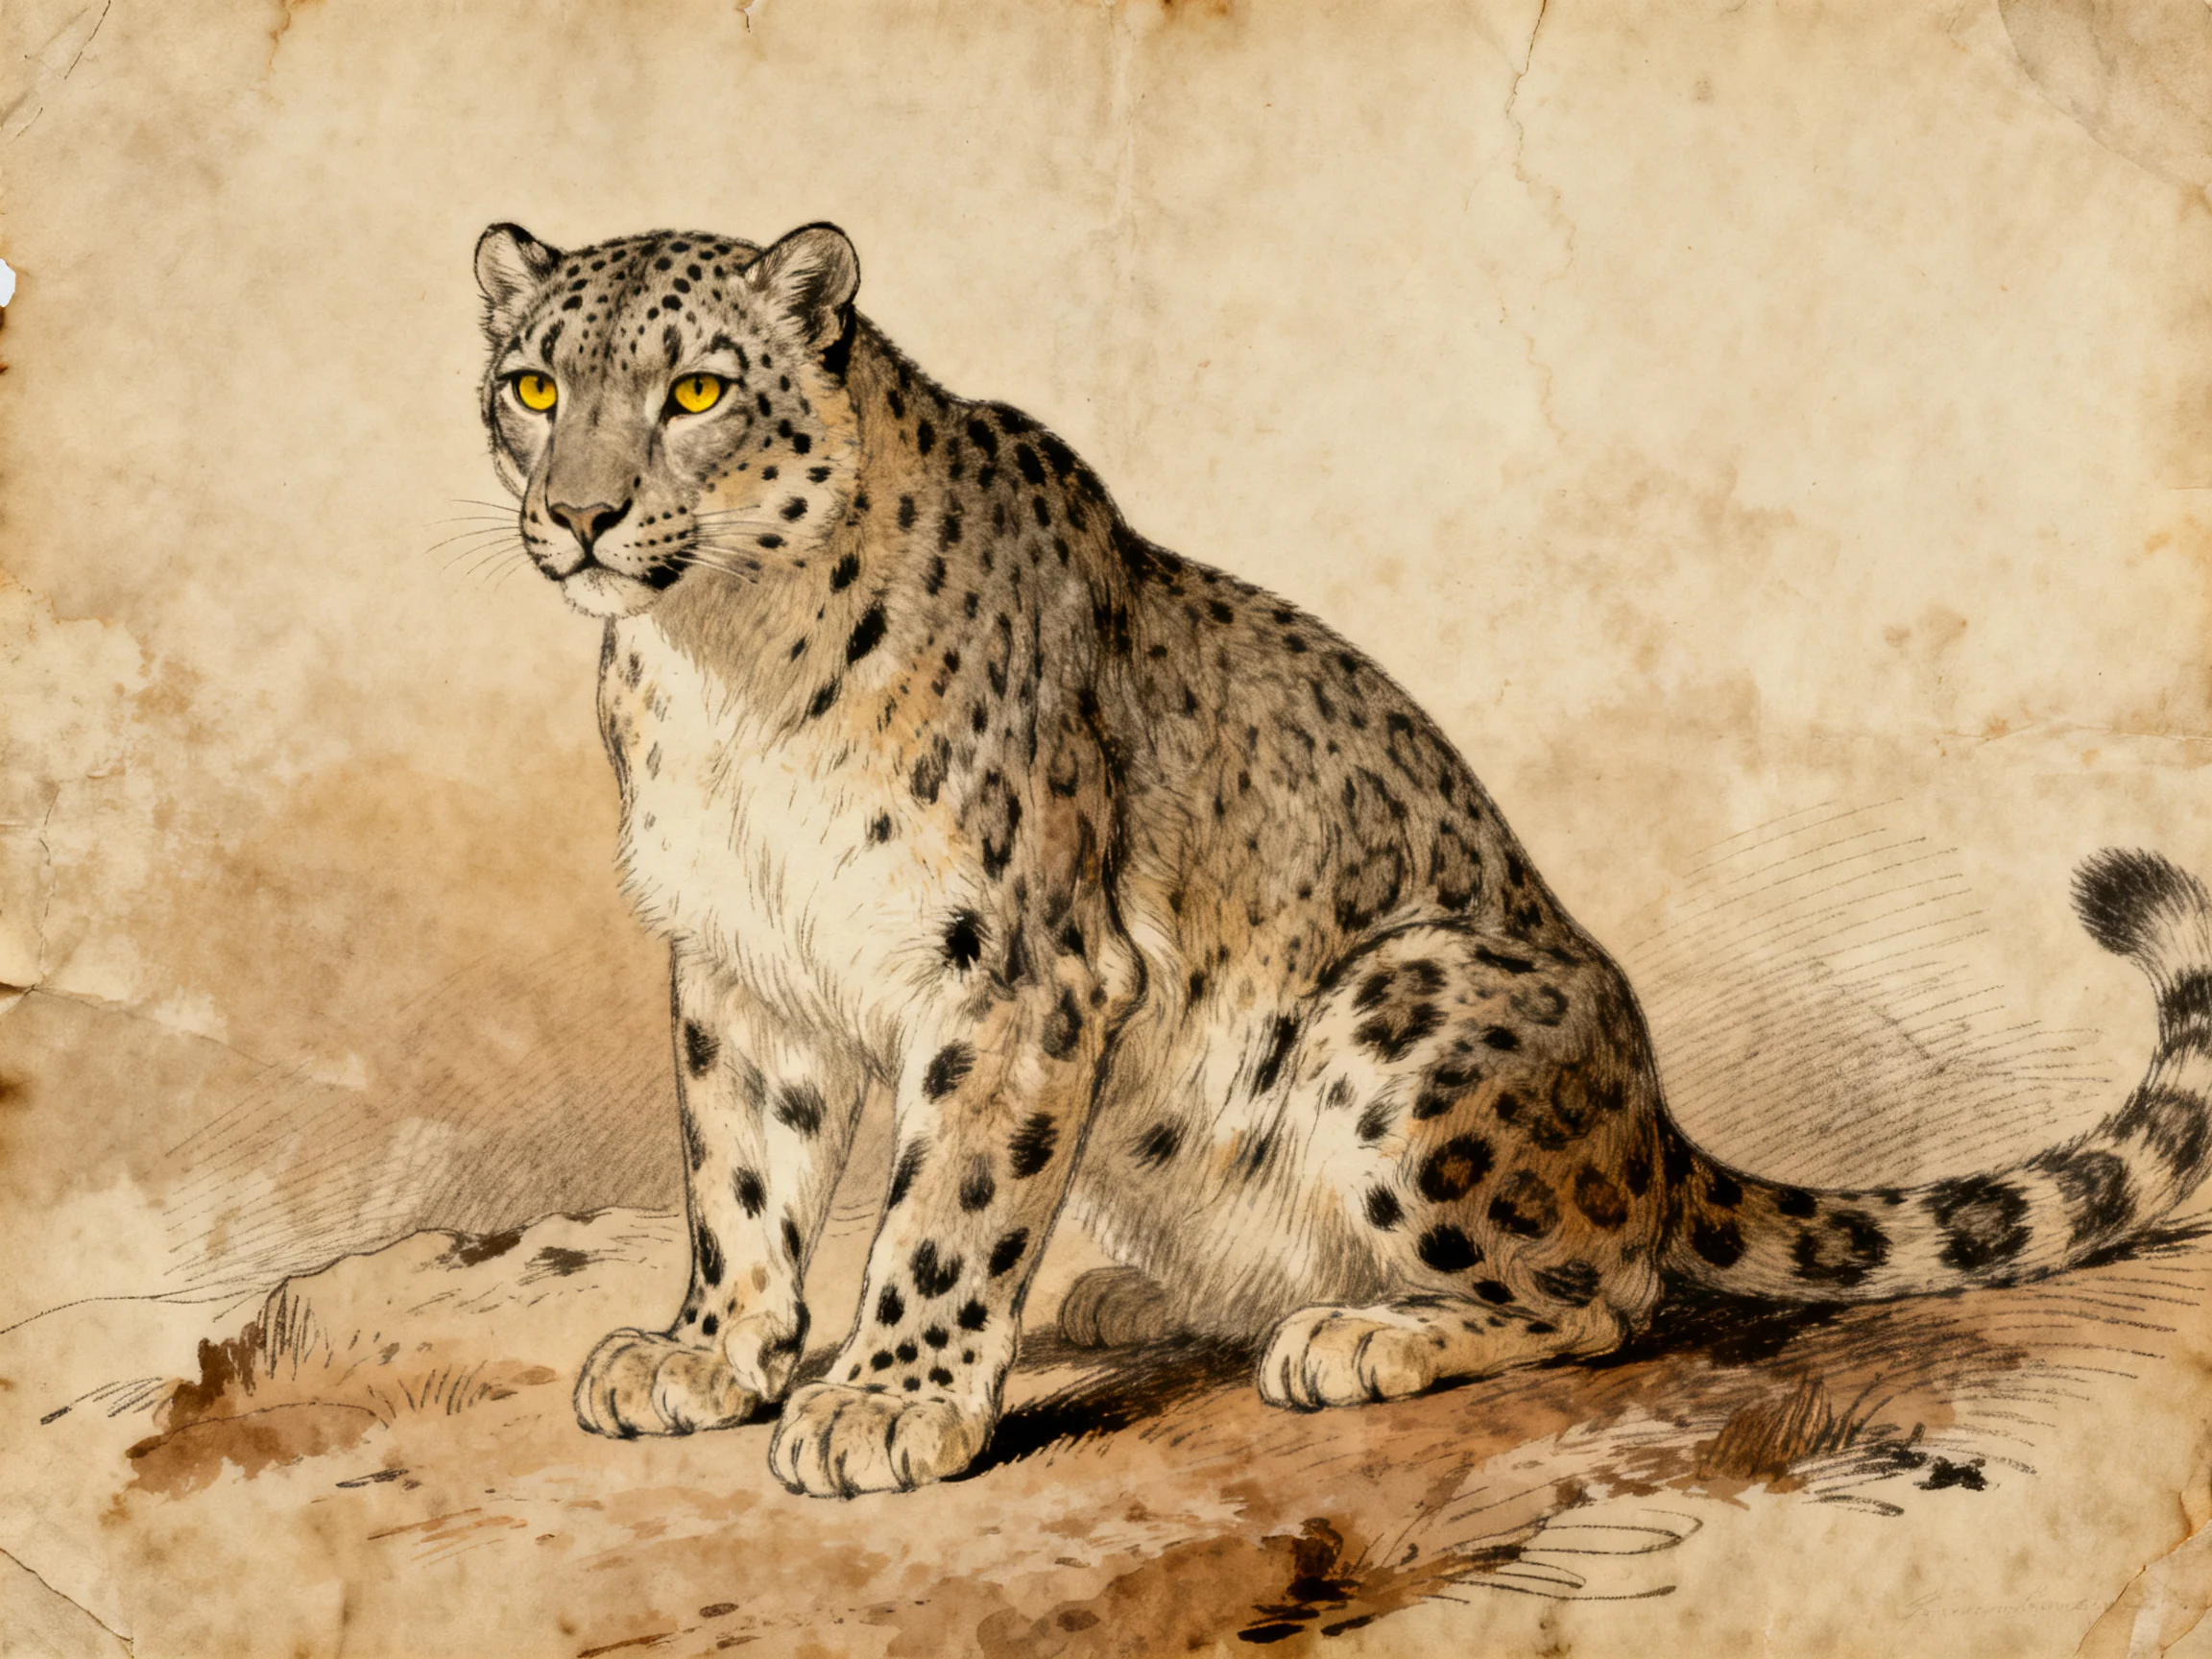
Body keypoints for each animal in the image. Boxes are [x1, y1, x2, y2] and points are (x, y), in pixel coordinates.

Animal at [473, 218, 2212, 1499]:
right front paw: (707, 1352)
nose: (582, 514)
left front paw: (886, 1400)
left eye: (697, 394)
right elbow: (739, 1171)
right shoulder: (738, 962)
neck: (715, 671)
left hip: (1410, 1001)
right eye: (534, 388)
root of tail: (1655, 1126)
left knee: (1602, 1289)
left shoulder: (1018, 969)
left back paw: (1353, 1333)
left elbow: (951, 1197)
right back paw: (1142, 1289)